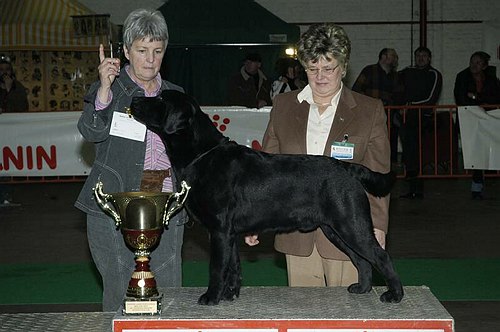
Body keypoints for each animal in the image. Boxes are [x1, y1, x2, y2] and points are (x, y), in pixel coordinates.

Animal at [131, 89, 404, 304]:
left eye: (160, 99)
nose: (134, 99)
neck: (202, 154)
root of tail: (348, 168)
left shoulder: (219, 229)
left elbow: (217, 267)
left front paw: (211, 297)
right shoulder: (229, 233)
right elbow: (233, 266)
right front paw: (230, 294)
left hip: (351, 224)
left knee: (380, 255)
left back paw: (395, 294)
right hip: (335, 230)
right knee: (362, 260)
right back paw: (363, 288)